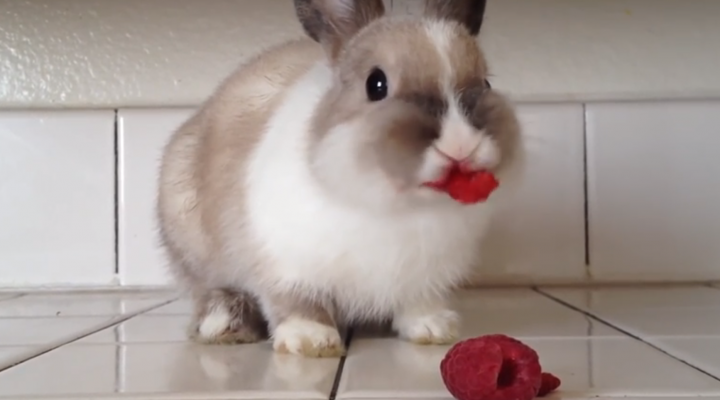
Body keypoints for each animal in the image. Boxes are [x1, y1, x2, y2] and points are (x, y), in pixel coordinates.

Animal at [156, 0, 521, 358]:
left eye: (485, 83)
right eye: (376, 84)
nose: (461, 145)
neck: (391, 204)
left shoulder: (426, 278)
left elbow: (419, 303)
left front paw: (434, 329)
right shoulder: (285, 265)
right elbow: (297, 302)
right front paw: (310, 339)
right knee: (209, 290)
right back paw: (224, 324)